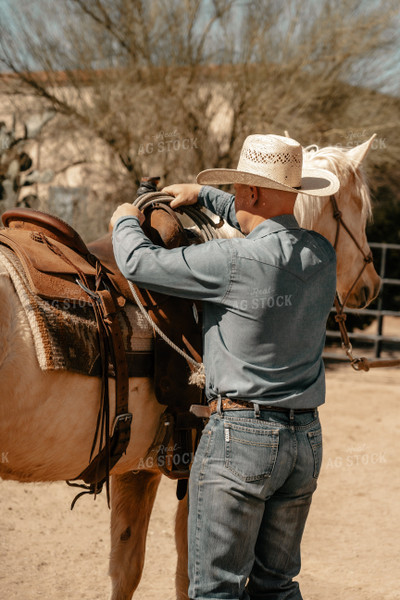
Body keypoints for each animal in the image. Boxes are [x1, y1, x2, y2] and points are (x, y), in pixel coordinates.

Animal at [0, 136, 382, 600]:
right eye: (361, 211)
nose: (373, 284)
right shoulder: (192, 467)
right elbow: (185, 573)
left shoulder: (136, 468)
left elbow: (125, 569)